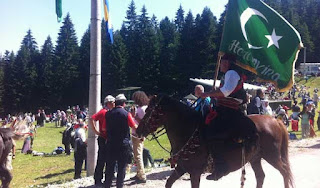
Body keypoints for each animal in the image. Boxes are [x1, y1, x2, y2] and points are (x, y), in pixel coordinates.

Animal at [136, 95, 294, 188]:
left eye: (150, 110)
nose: (138, 130)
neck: (189, 132)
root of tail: (275, 120)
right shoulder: (181, 168)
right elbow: (168, 183)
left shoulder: (195, 172)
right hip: (255, 158)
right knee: (261, 176)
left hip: (272, 156)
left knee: (285, 172)